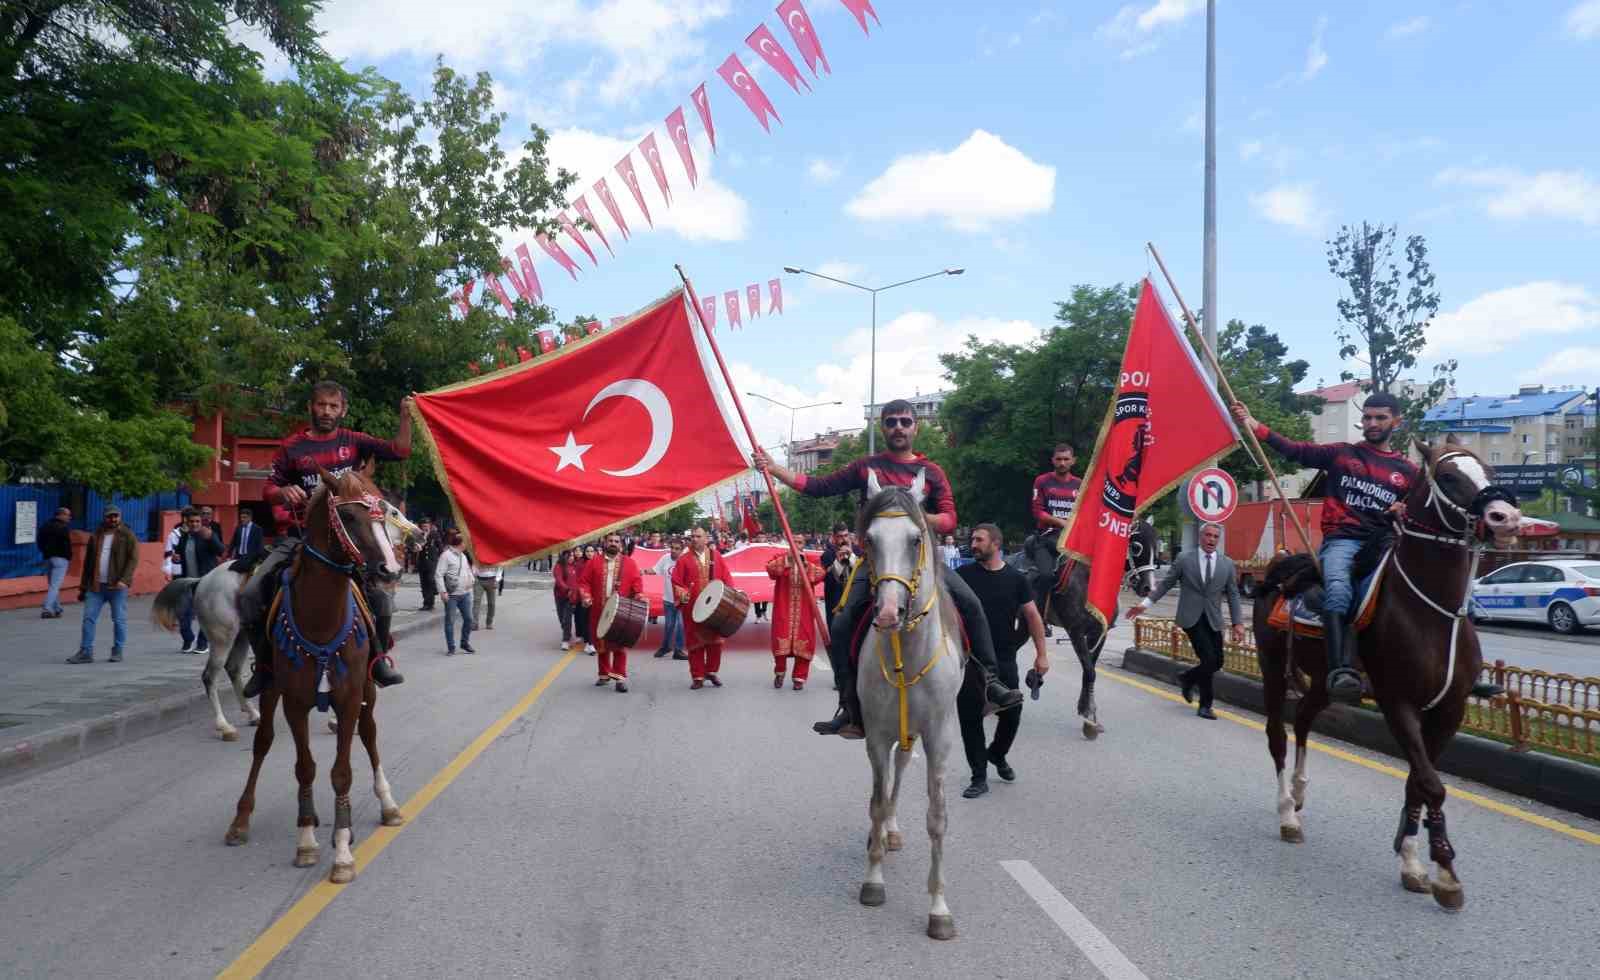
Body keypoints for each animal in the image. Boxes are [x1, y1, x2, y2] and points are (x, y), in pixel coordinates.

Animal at [150, 502, 419, 739]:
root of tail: (202, 580)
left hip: (241, 634)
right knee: (210, 676)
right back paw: (224, 726)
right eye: (394, 512)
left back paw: (252, 713)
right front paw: (337, 719)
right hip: (221, 636)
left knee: (233, 669)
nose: (419, 534)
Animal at [225, 464, 406, 883]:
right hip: (272, 688)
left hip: (367, 690)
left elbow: (342, 772)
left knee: (369, 735)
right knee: (263, 741)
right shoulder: (293, 701)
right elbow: (304, 768)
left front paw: (341, 851)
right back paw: (242, 819)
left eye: (384, 512)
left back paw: (386, 804)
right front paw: (306, 839)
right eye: (350, 517)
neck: (322, 617)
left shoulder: (349, 696)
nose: (390, 570)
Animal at [1248, 445, 1523, 909]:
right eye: (1448, 476)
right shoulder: (1399, 705)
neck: (1434, 612)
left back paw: (1300, 794)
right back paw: (1287, 813)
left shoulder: (1449, 711)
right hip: (1271, 666)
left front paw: (1412, 855)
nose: (1505, 516)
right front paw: (1442, 870)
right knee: (1277, 736)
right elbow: (1432, 786)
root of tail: (1281, 566)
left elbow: (1418, 783)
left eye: (1488, 470)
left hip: (1325, 681)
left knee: (1303, 719)